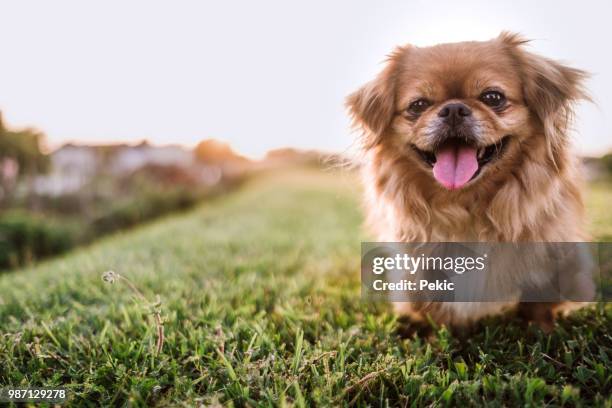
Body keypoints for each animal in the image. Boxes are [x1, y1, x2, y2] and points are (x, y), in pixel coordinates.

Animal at [346, 32, 592, 332]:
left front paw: (540, 330)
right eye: (418, 105)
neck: (466, 207)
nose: (453, 108)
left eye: (492, 97)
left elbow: (539, 303)